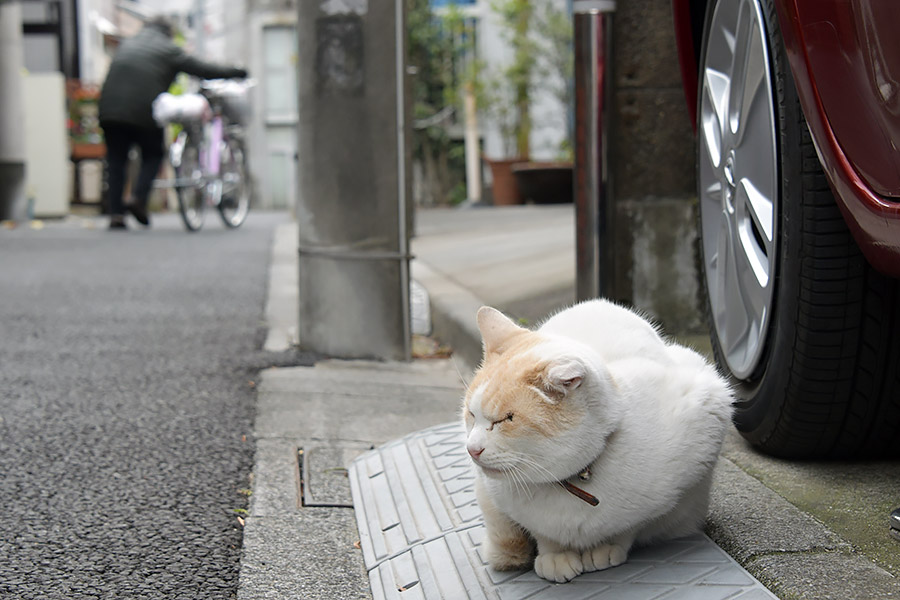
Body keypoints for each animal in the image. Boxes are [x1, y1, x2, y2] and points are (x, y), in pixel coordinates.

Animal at [464, 302, 732, 584]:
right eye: (471, 414)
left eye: (506, 419)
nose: (472, 449)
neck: (572, 481)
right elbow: (543, 535)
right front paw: (555, 554)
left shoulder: (706, 414)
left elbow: (629, 525)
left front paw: (606, 547)